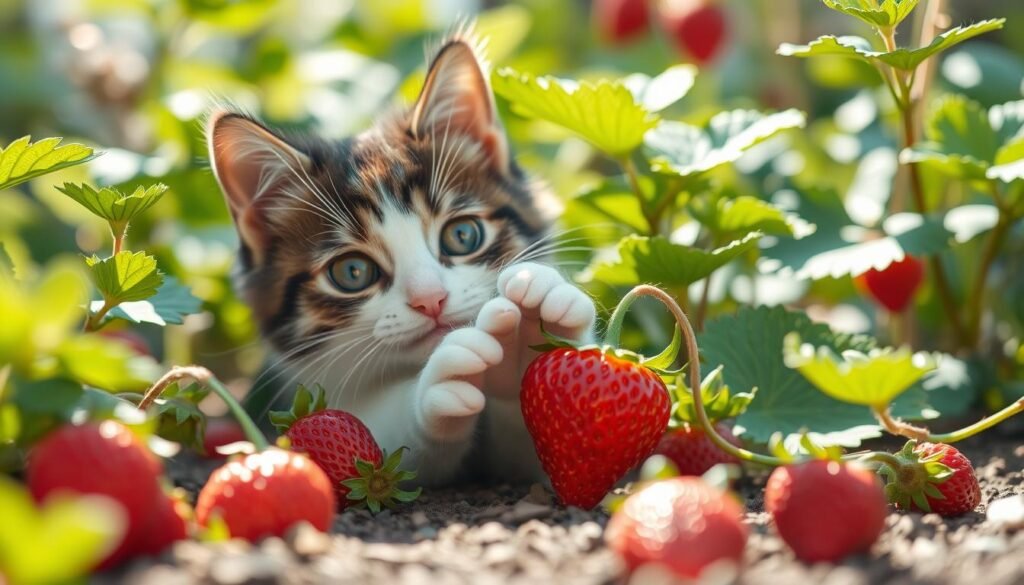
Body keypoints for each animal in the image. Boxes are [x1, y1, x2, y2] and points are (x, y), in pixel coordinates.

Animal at [204, 35, 598, 485]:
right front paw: (434, 388)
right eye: (352, 272)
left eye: (462, 235)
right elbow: (384, 449)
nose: (430, 300)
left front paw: (529, 339)